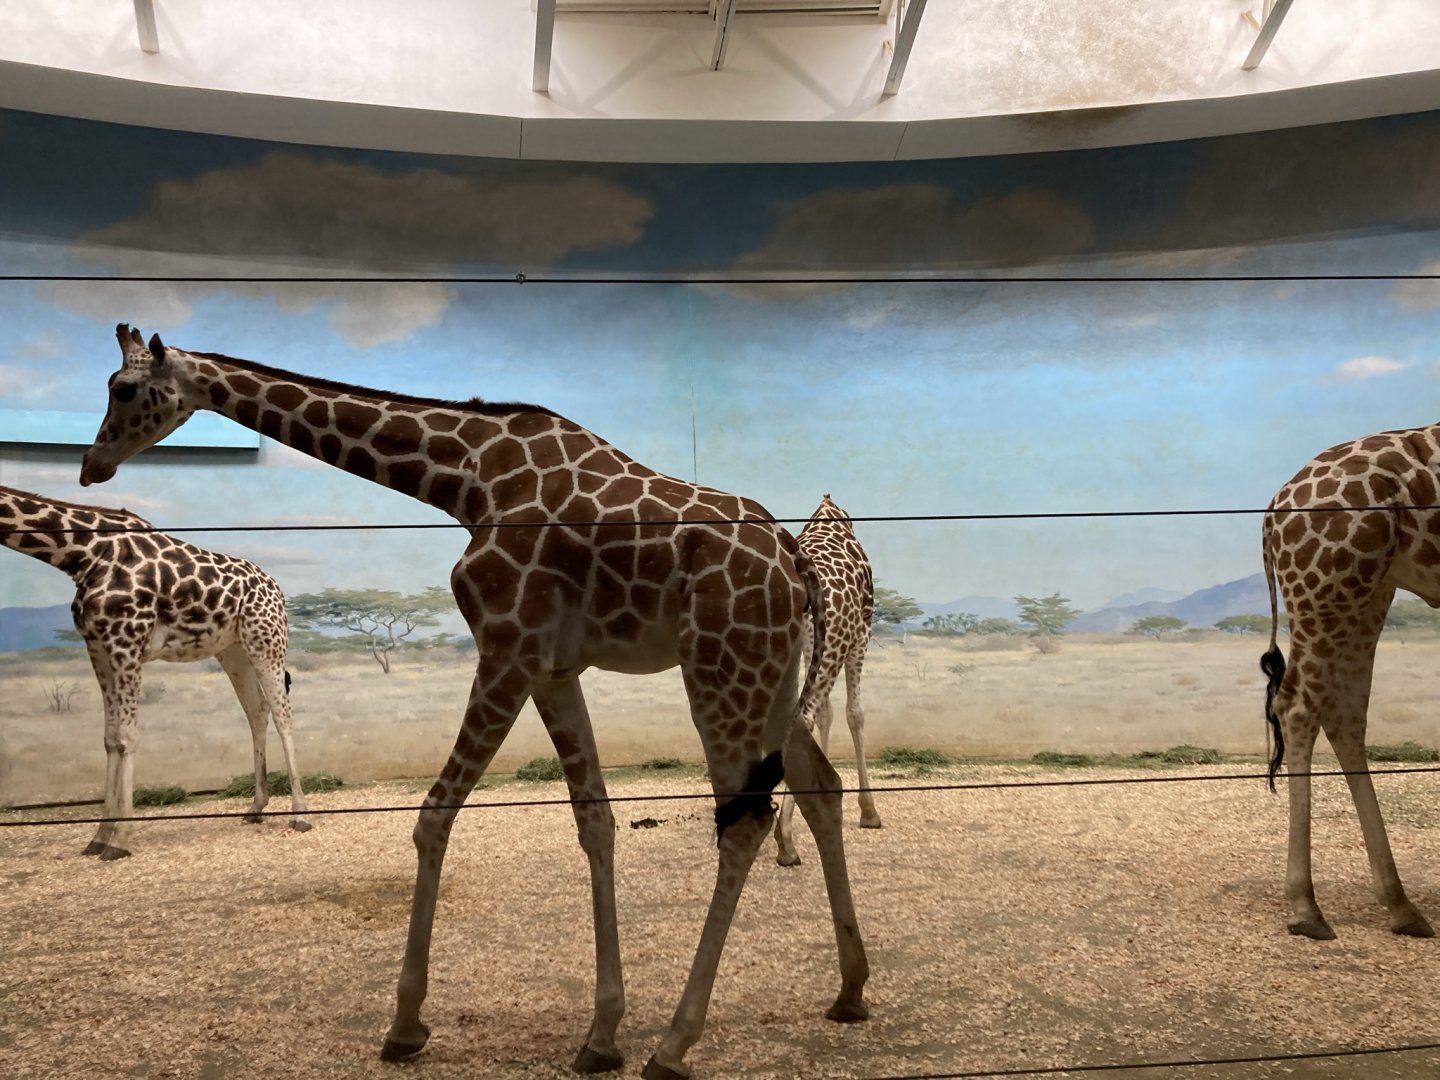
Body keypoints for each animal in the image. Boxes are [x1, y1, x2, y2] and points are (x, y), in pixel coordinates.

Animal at [0, 483, 308, 859]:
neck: (82, 554)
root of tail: (277, 589)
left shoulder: (126, 644)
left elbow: (127, 737)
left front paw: (119, 840)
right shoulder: (98, 648)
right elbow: (109, 738)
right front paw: (99, 836)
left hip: (266, 641)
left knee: (282, 713)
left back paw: (299, 814)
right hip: (232, 651)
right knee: (257, 711)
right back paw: (255, 807)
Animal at [78, 324, 869, 1079]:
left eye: (122, 388)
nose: (93, 464)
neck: (466, 480)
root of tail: (795, 563)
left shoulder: (507, 649)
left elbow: (433, 816)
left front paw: (405, 1026)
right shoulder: (552, 669)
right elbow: (596, 823)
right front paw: (600, 1035)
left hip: (721, 665)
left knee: (744, 819)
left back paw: (675, 1045)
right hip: (771, 671)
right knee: (819, 785)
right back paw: (851, 991)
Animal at [774, 494, 880, 867]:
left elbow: (827, 715)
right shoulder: (861, 636)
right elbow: (854, 714)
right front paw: (869, 811)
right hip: (835, 643)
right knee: (801, 720)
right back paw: (785, 840)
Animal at [1260, 423, 1440, 941]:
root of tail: (1275, 508)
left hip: (1372, 590)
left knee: (1346, 712)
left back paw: (1402, 906)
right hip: (1335, 587)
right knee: (1299, 705)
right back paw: (1306, 908)